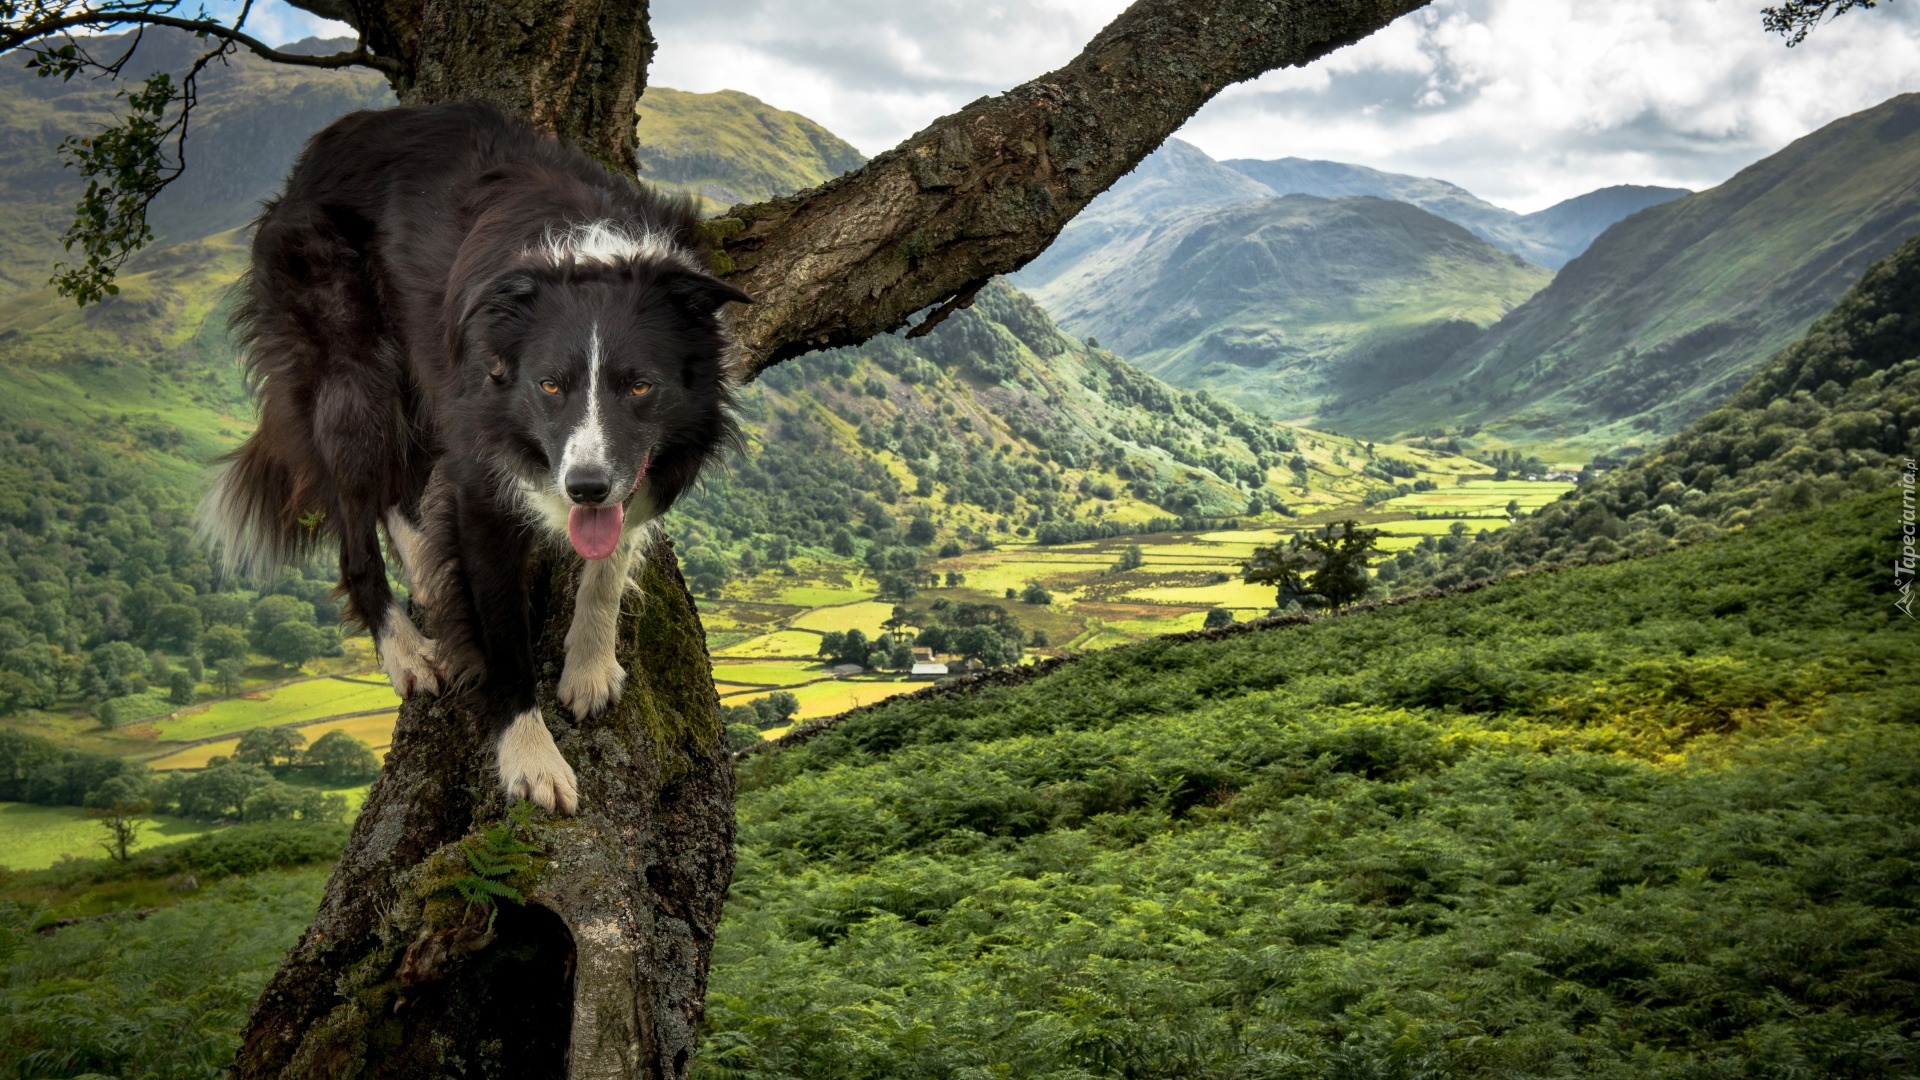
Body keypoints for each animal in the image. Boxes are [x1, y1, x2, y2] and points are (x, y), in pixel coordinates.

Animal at [206, 102, 744, 807]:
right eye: (550, 385)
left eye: (640, 386)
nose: (585, 488)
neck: (589, 255)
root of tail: (319, 150)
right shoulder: (485, 476)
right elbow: (504, 639)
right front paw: (530, 759)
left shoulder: (638, 467)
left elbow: (609, 561)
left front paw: (590, 666)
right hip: (354, 375)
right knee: (355, 516)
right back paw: (406, 652)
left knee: (403, 494)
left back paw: (429, 574)